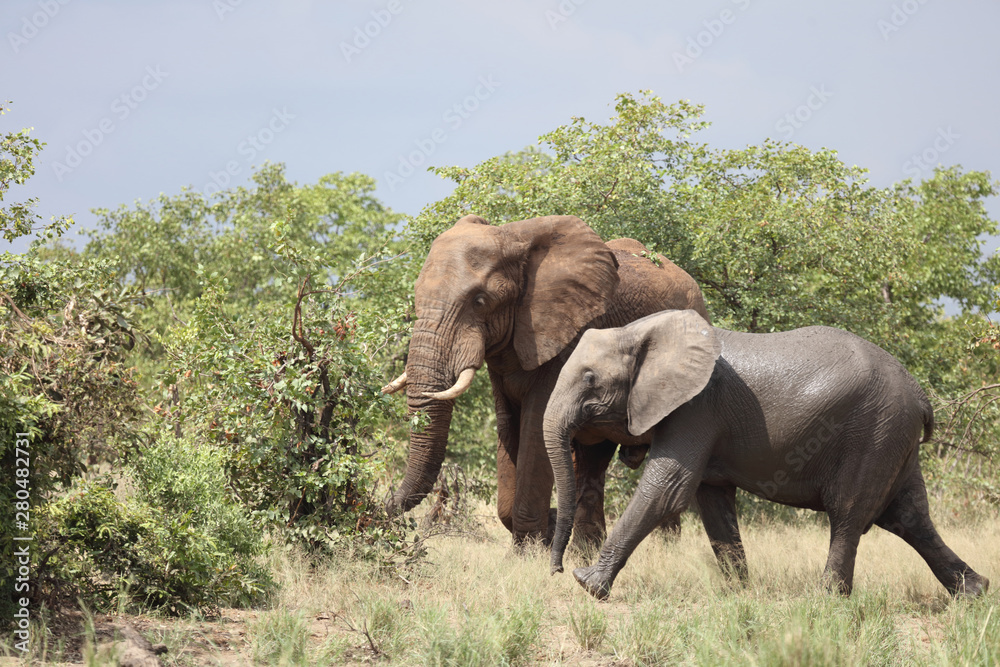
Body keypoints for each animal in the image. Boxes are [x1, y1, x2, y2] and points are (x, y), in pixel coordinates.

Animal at [382, 214, 709, 545]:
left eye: (480, 300)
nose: (383, 506)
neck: (515, 239)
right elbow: (508, 425)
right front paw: (537, 538)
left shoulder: (569, 337)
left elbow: (536, 426)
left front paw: (528, 549)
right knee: (593, 459)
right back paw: (584, 550)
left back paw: (663, 547)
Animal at [544, 309, 990, 600]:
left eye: (590, 379)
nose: (556, 570)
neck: (638, 332)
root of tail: (921, 397)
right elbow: (712, 500)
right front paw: (739, 594)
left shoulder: (696, 409)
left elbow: (667, 488)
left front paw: (587, 585)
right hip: (894, 437)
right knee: (909, 516)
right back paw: (974, 594)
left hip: (875, 431)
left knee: (850, 513)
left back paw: (827, 600)